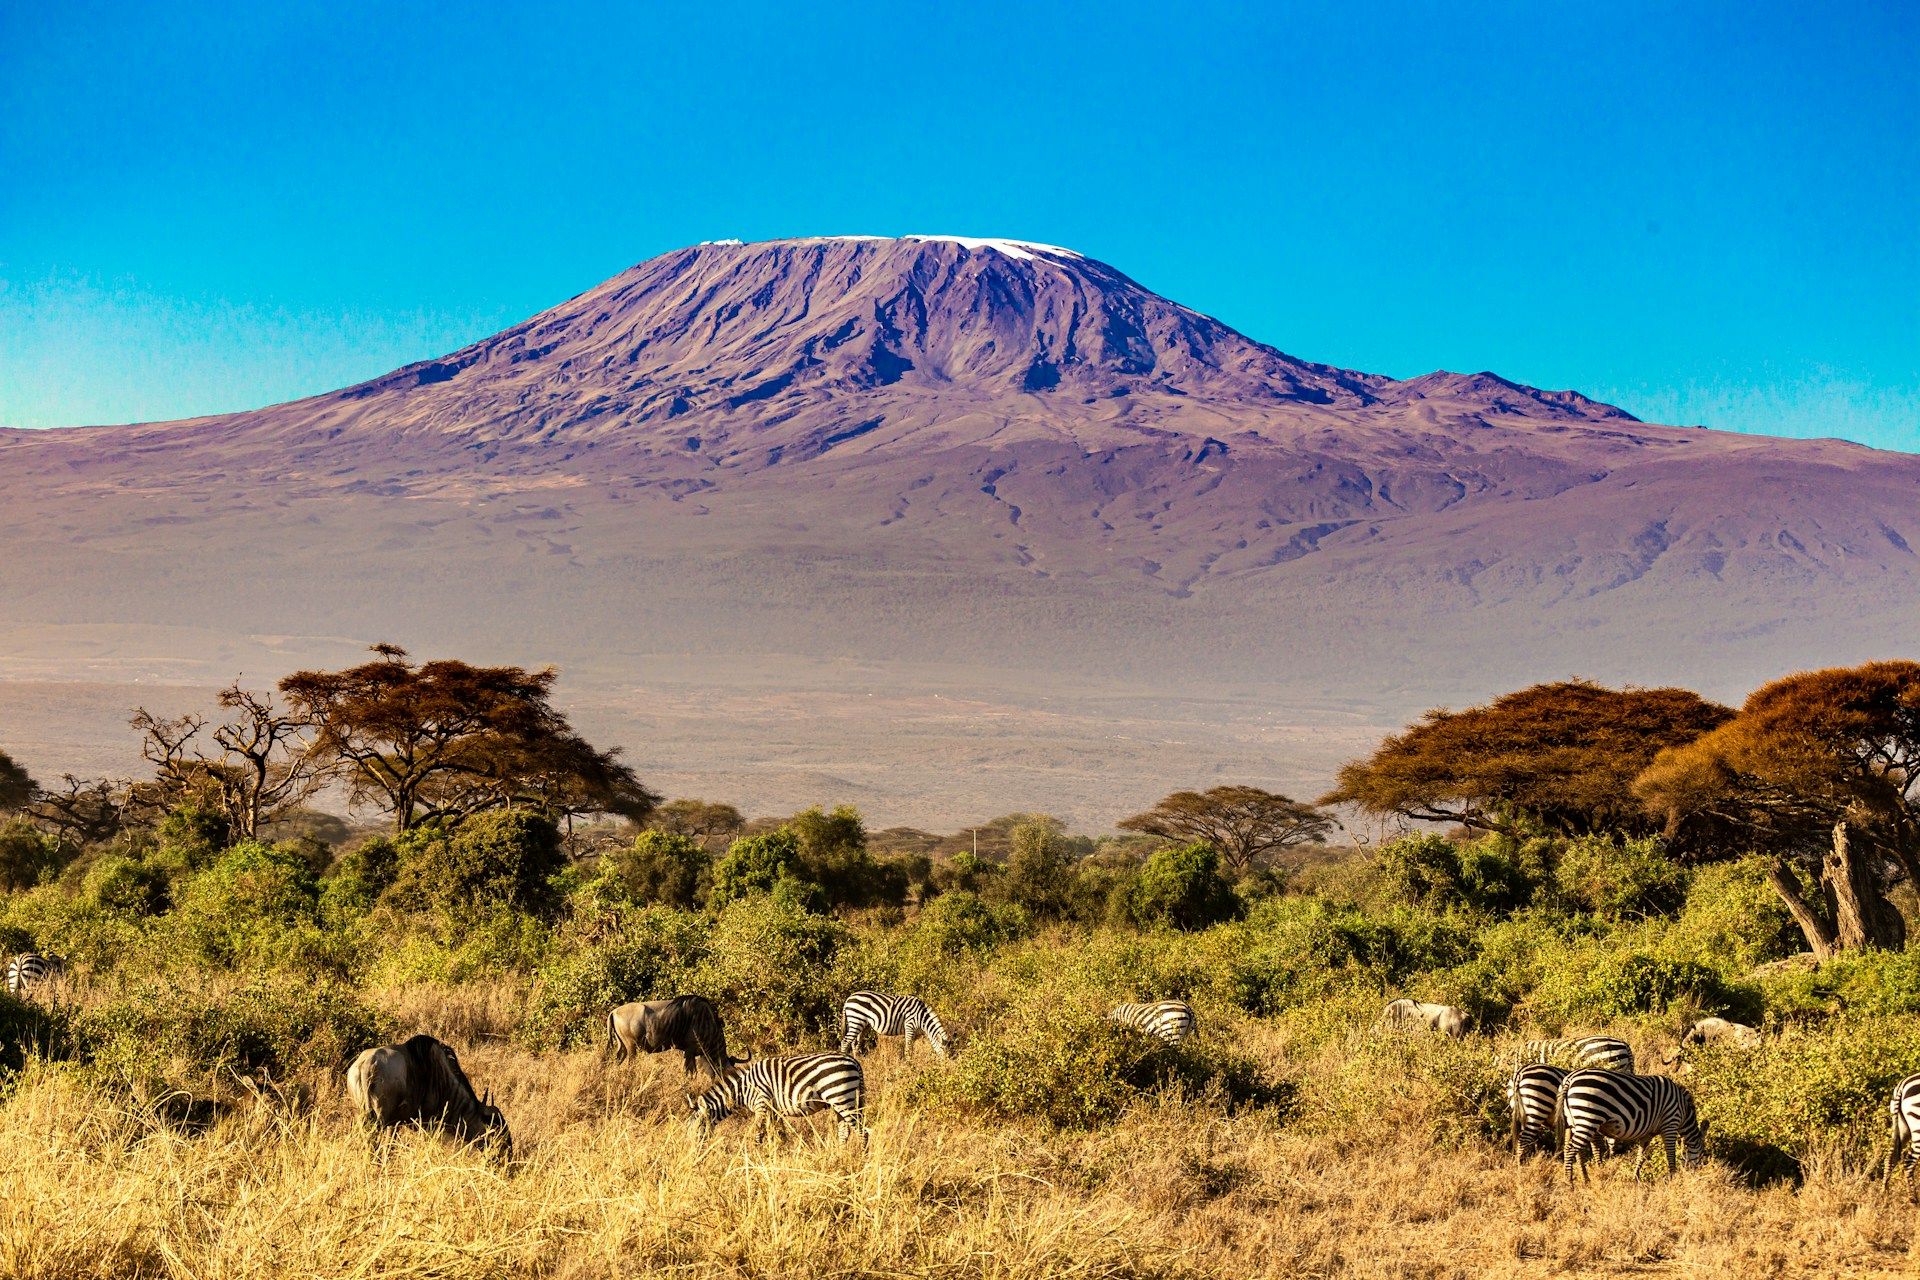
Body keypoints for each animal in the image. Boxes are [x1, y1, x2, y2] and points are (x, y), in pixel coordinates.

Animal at [687, 1059, 867, 1143]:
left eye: (698, 1127)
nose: (693, 1154)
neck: (742, 1090)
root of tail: (853, 1061)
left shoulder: (761, 1105)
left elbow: (758, 1133)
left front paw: (757, 1158)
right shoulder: (773, 1110)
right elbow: (776, 1133)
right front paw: (777, 1153)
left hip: (842, 1098)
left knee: (862, 1132)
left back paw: (860, 1161)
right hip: (840, 1102)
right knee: (844, 1132)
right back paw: (839, 1156)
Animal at [1559, 1066, 1712, 1189]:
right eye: (1703, 1153)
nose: (1698, 1176)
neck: (1684, 1111)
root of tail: (1570, 1079)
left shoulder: (1648, 1133)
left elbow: (1641, 1156)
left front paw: (1636, 1178)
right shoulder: (1670, 1124)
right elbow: (1670, 1154)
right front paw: (1673, 1177)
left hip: (1574, 1122)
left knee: (1574, 1150)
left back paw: (1585, 1180)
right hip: (1588, 1118)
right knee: (1571, 1149)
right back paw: (1569, 1183)